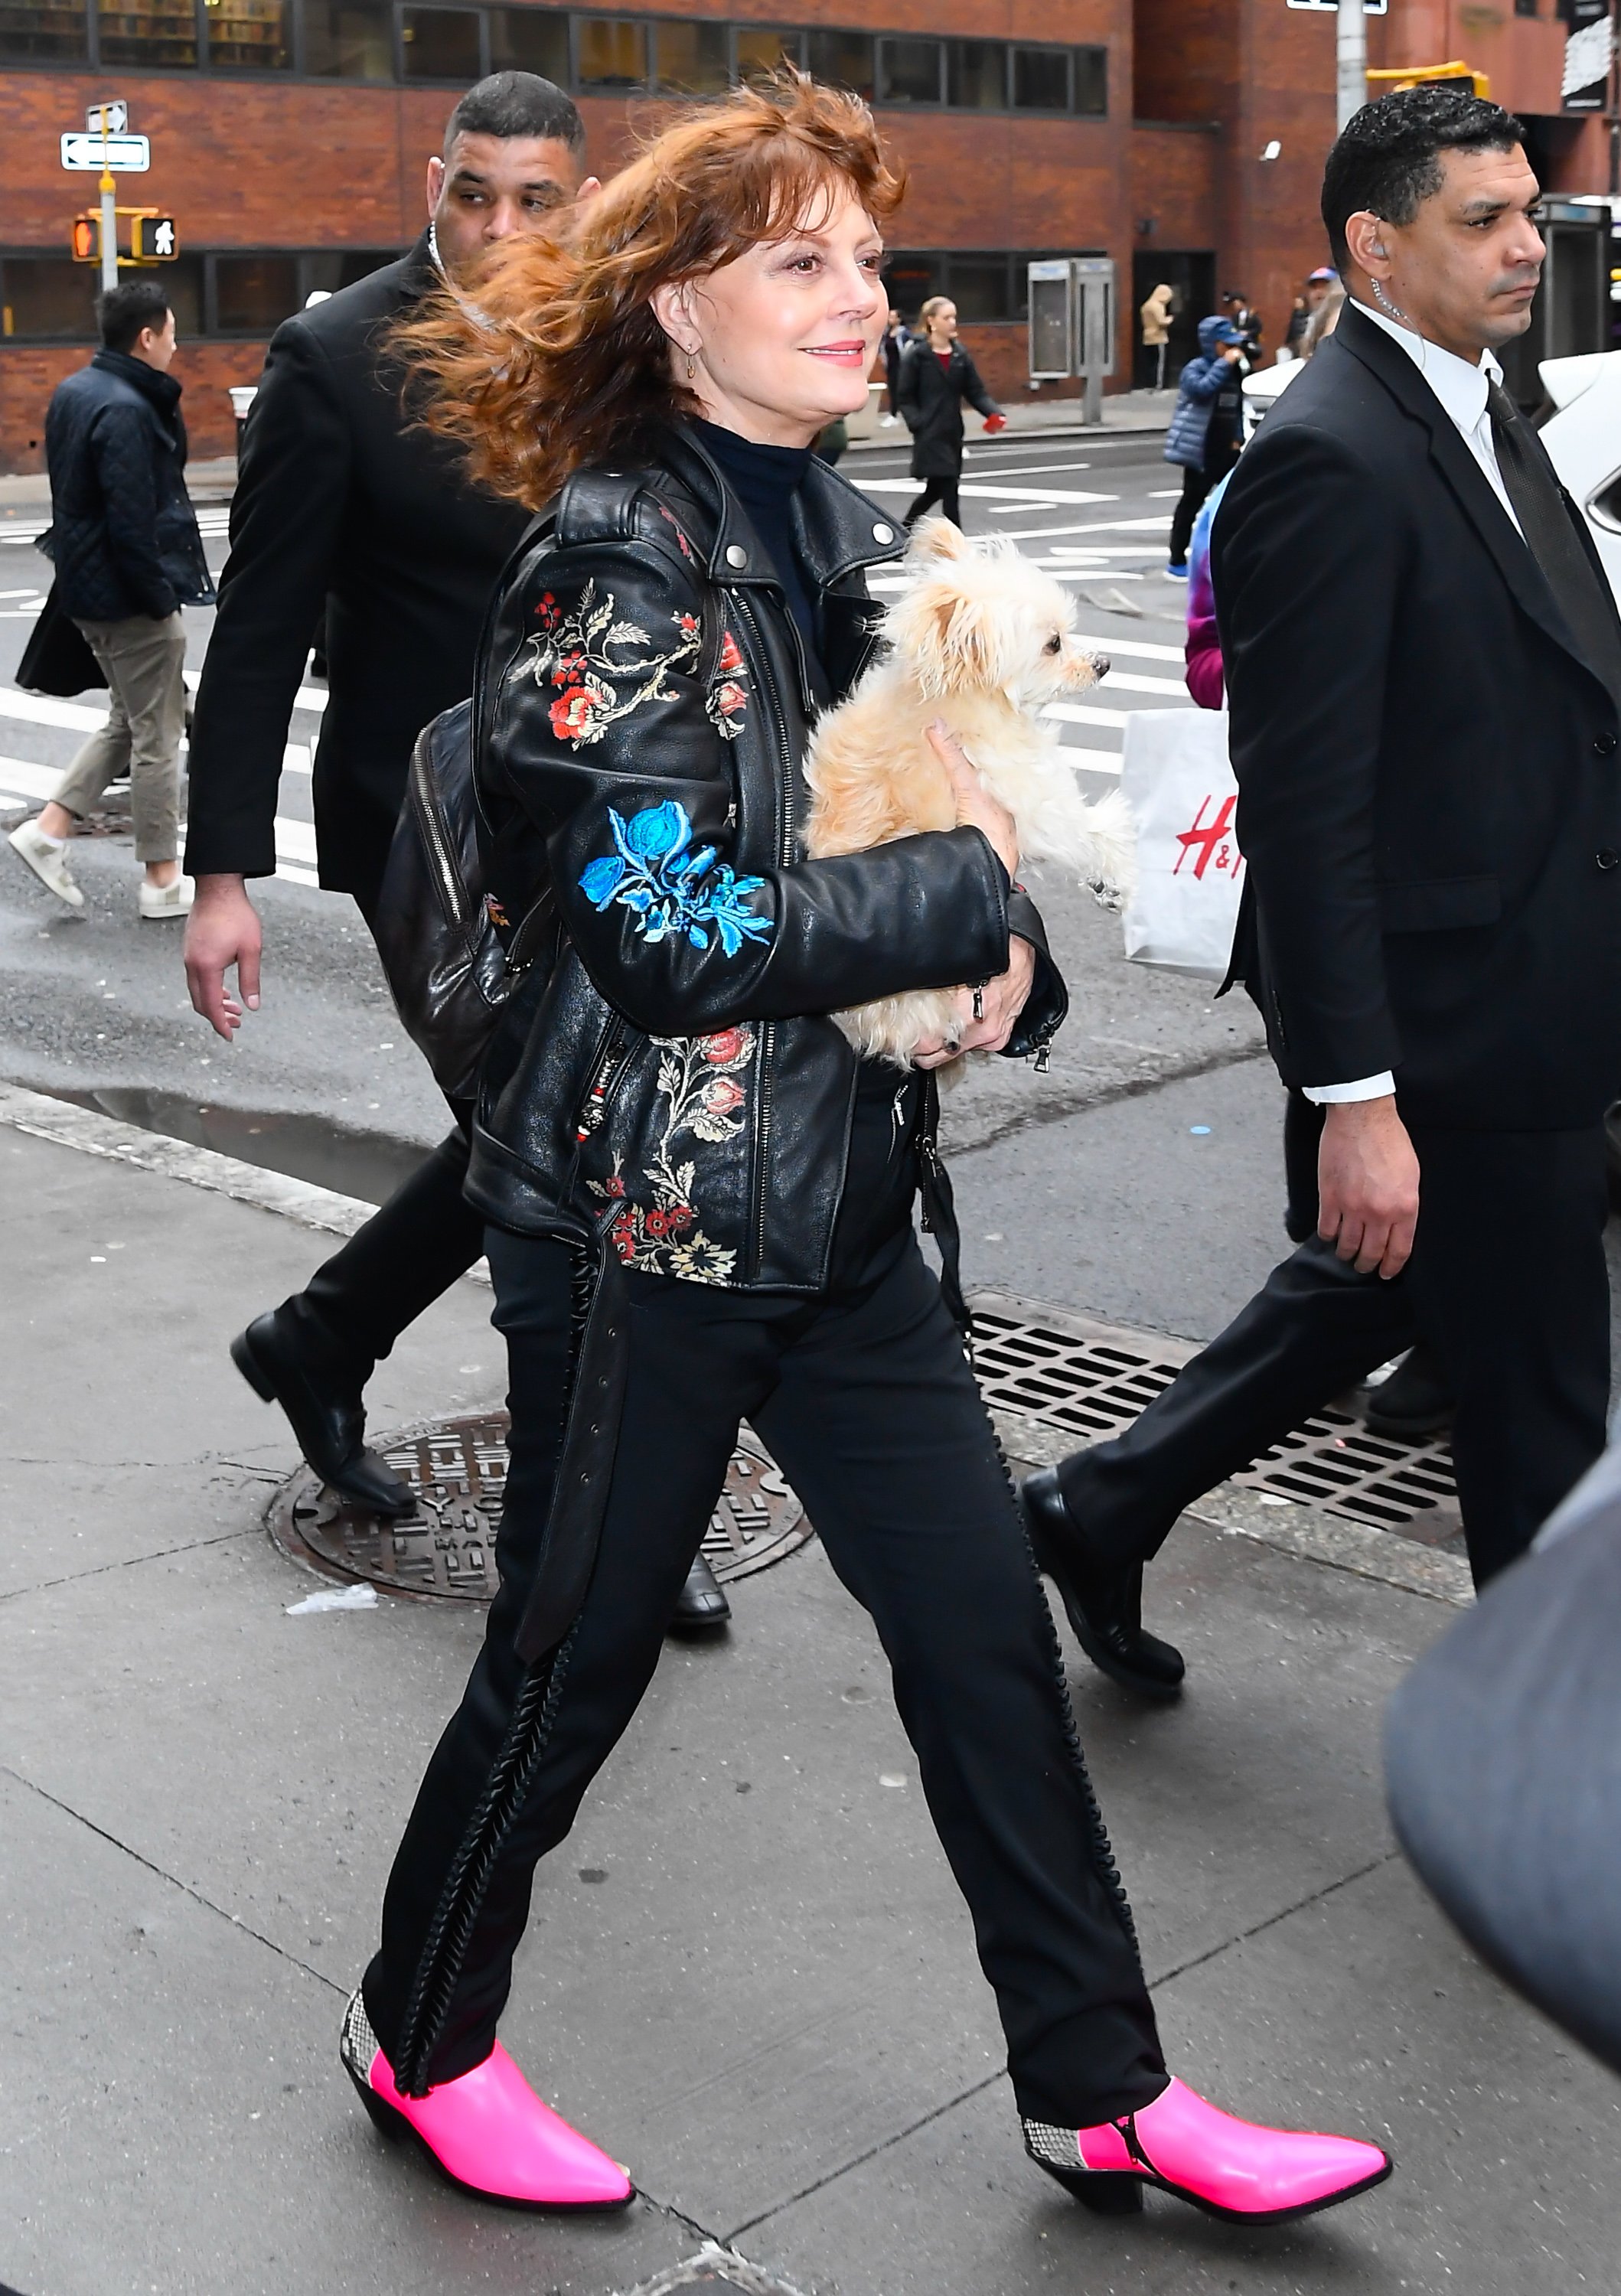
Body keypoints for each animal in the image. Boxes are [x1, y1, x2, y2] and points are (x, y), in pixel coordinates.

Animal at [804, 521, 1130, 1065]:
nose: (1102, 663)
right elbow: (1086, 828)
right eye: (1053, 644)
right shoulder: (1026, 794)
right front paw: (1121, 876)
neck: (968, 697)